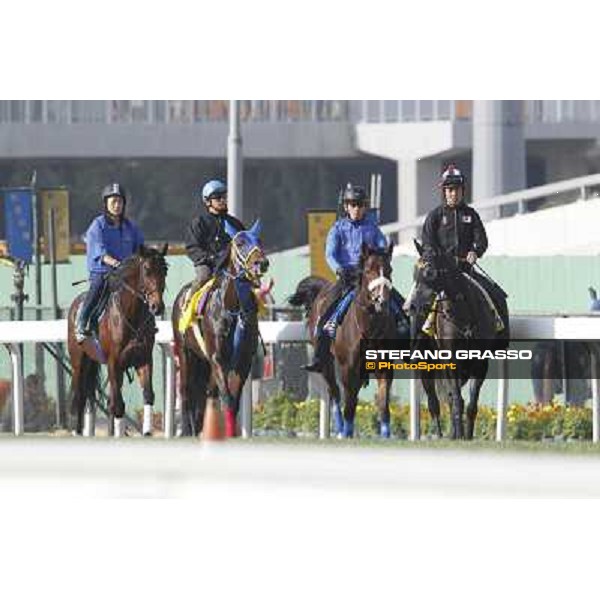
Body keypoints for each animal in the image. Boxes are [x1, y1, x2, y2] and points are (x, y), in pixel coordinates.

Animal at [66, 244, 168, 436]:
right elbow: (119, 405)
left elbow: (148, 395)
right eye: (147, 270)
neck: (131, 315)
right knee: (80, 396)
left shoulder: (143, 358)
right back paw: (77, 431)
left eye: (164, 270)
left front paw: (147, 431)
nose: (157, 307)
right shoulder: (114, 362)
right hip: (79, 363)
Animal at [171, 219, 270, 436]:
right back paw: (188, 431)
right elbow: (227, 398)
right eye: (240, 242)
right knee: (186, 392)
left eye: (259, 240)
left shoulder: (242, 361)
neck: (232, 308)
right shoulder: (217, 357)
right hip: (185, 353)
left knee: (204, 395)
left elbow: (233, 401)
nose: (262, 263)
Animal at [288, 243, 396, 436]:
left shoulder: (383, 367)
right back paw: (340, 428)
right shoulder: (348, 368)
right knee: (335, 392)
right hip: (326, 362)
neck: (368, 328)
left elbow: (383, 405)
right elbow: (349, 405)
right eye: (368, 270)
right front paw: (347, 432)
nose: (381, 301)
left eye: (389, 270)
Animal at [412, 241, 502, 438]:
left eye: (429, 272)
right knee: (434, 402)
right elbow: (456, 401)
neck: (463, 313)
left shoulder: (480, 362)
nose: (411, 306)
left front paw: (466, 436)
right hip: (426, 363)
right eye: (414, 271)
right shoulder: (451, 359)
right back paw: (440, 434)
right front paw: (459, 435)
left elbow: (471, 404)